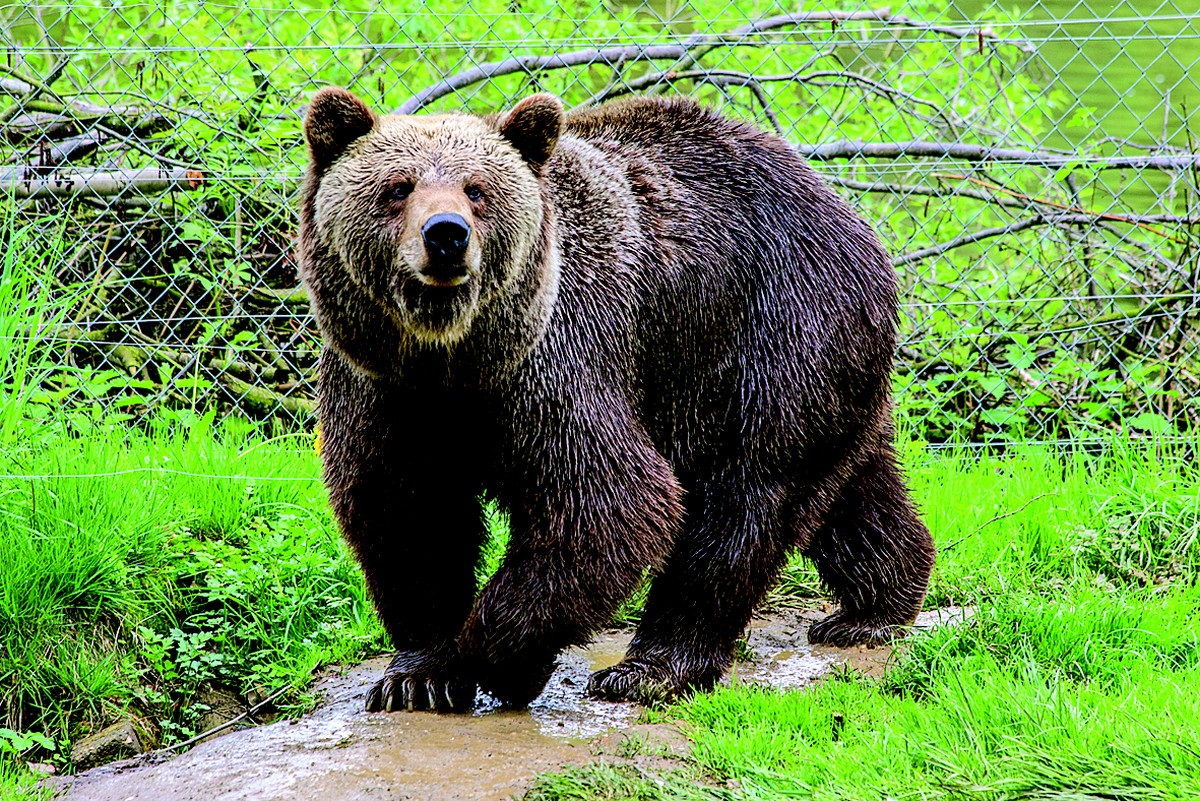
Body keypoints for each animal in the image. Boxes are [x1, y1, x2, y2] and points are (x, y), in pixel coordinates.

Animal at [298, 86, 935, 712]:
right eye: (397, 187)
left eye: (477, 190)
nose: (447, 235)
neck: (454, 357)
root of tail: (844, 207)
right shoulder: (383, 387)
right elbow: (406, 514)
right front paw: (418, 676)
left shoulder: (559, 361)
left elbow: (608, 503)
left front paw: (503, 661)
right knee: (853, 484)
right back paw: (875, 606)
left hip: (770, 331)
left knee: (745, 492)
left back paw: (651, 668)